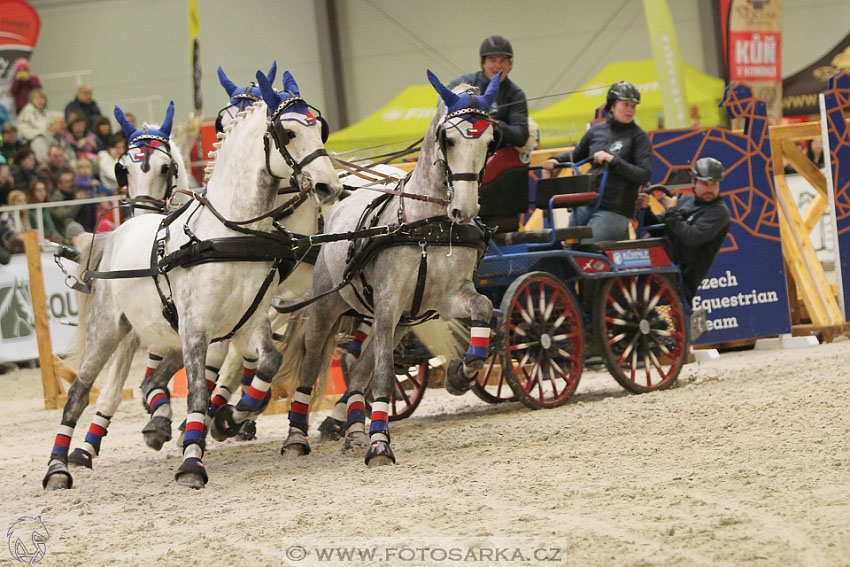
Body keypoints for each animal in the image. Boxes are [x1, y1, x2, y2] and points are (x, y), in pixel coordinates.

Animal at [43, 69, 342, 490]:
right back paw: (59, 466)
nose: (329, 186)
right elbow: (197, 392)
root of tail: (119, 232)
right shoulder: (196, 328)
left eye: (321, 129)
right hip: (108, 330)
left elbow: (268, 363)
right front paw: (191, 461)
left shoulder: (250, 321)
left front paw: (231, 418)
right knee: (78, 392)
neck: (229, 234)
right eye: (288, 132)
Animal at [215, 70, 500, 466]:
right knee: (312, 365)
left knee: (358, 366)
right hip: (327, 308)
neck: (425, 224)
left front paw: (461, 373)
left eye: (490, 141)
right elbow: (382, 376)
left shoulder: (445, 298)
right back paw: (296, 436)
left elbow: (483, 309)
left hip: (396, 320)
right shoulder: (385, 301)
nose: (465, 209)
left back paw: (349, 428)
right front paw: (380, 443)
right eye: (449, 138)